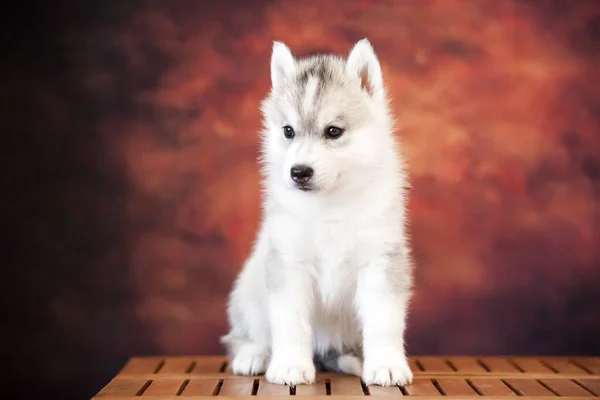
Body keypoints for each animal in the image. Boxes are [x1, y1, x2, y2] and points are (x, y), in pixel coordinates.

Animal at [220, 39, 412, 386]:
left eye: (334, 131)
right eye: (288, 131)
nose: (299, 172)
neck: (330, 204)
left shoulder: (381, 260)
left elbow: (384, 322)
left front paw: (387, 365)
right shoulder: (288, 263)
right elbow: (290, 322)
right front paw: (290, 366)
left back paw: (351, 360)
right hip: (249, 290)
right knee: (244, 335)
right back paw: (254, 355)